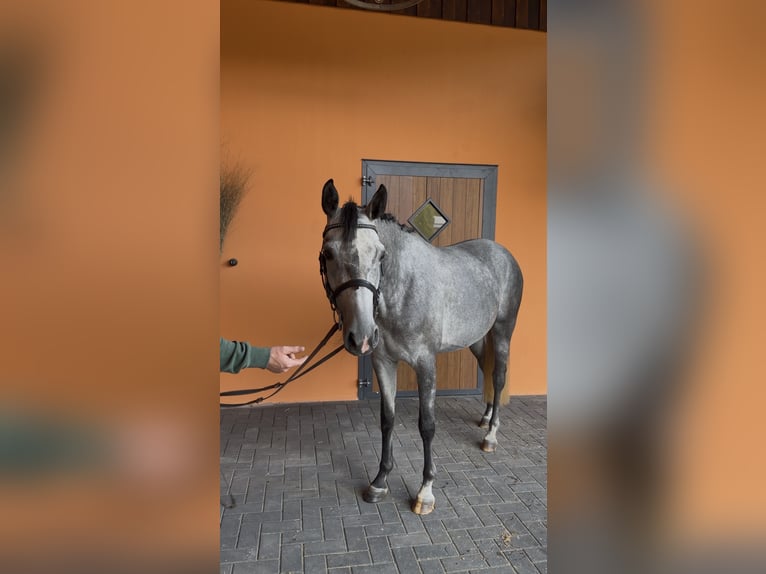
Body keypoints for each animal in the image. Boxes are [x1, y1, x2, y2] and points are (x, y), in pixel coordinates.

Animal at [319, 178, 523, 515]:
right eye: (328, 253)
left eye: (380, 255)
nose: (362, 336)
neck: (402, 289)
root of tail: (503, 254)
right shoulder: (383, 361)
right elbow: (386, 420)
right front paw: (379, 481)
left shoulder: (425, 363)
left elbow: (427, 425)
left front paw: (425, 491)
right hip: (477, 339)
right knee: (487, 370)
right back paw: (484, 418)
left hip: (503, 332)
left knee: (498, 376)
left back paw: (491, 435)